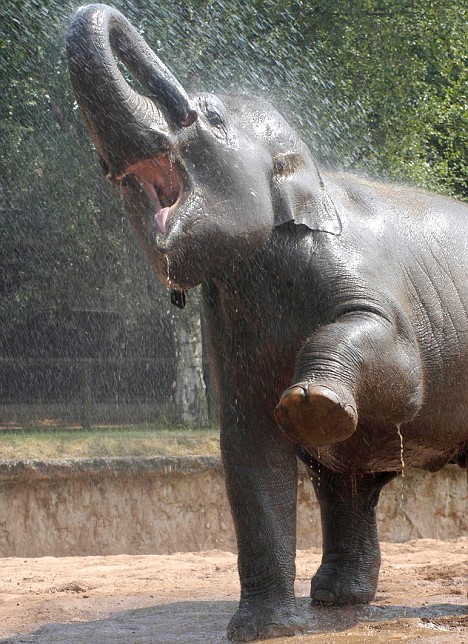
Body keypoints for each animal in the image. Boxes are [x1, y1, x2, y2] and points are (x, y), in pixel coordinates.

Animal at [66, 3, 468, 640]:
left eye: (210, 116)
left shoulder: (362, 276)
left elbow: (404, 372)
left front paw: (309, 402)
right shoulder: (227, 323)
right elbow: (248, 442)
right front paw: (261, 629)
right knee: (344, 486)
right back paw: (335, 599)